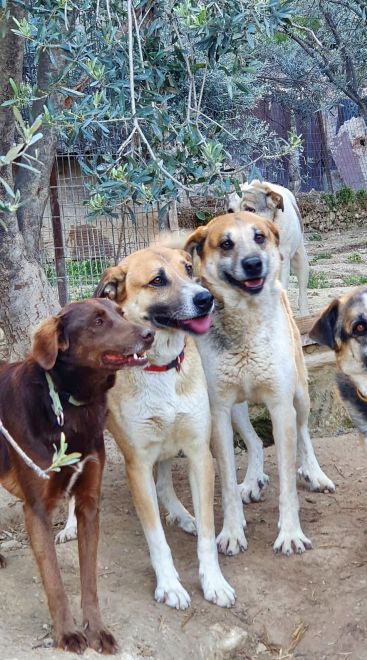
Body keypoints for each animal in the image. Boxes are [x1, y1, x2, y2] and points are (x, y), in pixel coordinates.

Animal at [0, 300, 154, 656]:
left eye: (119, 314)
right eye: (97, 322)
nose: (149, 333)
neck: (69, 402)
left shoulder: (88, 504)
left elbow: (90, 579)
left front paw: (97, 629)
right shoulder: (36, 511)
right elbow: (54, 581)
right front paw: (67, 633)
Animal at [87, 246, 234, 608]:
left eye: (188, 268)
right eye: (157, 280)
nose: (206, 298)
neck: (160, 368)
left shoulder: (198, 453)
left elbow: (208, 532)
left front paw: (213, 581)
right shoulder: (137, 465)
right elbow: (156, 537)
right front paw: (168, 585)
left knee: (165, 482)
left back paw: (181, 514)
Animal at [183, 214, 334, 556]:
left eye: (259, 237)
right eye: (226, 243)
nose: (253, 264)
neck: (246, 323)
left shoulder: (280, 407)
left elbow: (288, 482)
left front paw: (290, 534)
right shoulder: (219, 412)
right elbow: (226, 481)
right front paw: (232, 531)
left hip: (300, 396)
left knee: (304, 434)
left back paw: (315, 474)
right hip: (237, 409)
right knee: (253, 441)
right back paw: (252, 481)